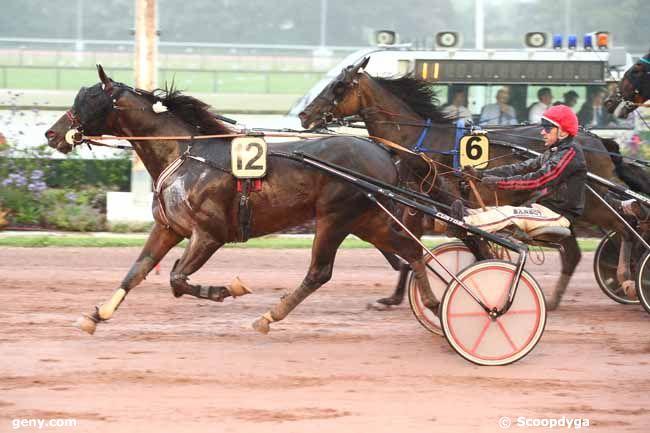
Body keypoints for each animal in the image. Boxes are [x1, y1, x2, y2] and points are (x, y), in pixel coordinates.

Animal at [45, 65, 438, 334]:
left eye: (90, 99)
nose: (52, 134)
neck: (187, 154)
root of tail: (384, 153)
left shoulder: (209, 234)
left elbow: (176, 278)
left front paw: (226, 289)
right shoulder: (169, 228)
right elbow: (137, 271)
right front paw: (96, 315)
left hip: (335, 217)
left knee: (320, 272)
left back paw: (269, 316)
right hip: (368, 220)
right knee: (412, 250)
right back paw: (433, 303)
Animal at [296, 57, 644, 308]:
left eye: (339, 86)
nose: (304, 115)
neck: (421, 144)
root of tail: (597, 140)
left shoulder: (445, 203)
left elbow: (463, 246)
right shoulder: (420, 205)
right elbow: (416, 249)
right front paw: (395, 296)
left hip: (592, 200)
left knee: (624, 226)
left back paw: (625, 278)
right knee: (573, 252)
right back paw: (555, 300)